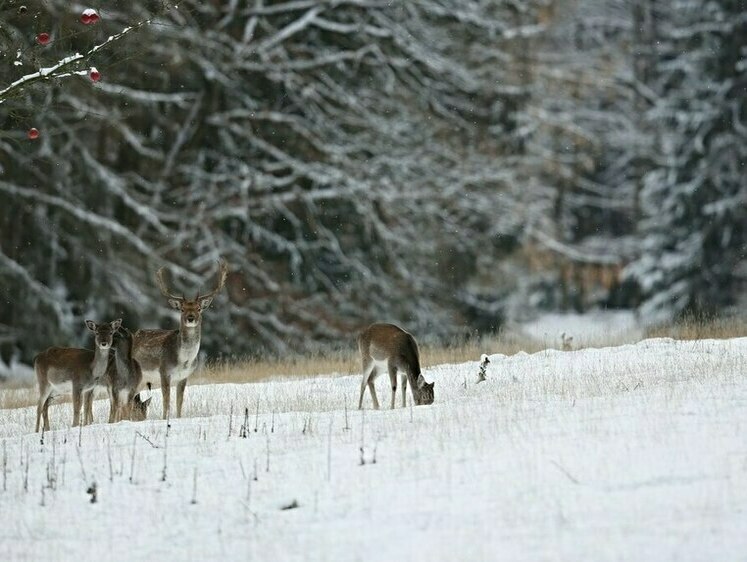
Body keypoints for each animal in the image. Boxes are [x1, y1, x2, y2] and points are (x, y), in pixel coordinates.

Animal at [131, 258, 229, 416]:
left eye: (198, 308)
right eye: (182, 309)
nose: (190, 318)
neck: (184, 360)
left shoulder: (184, 376)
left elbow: (179, 403)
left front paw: (178, 417)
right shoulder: (164, 371)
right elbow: (166, 403)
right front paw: (165, 418)